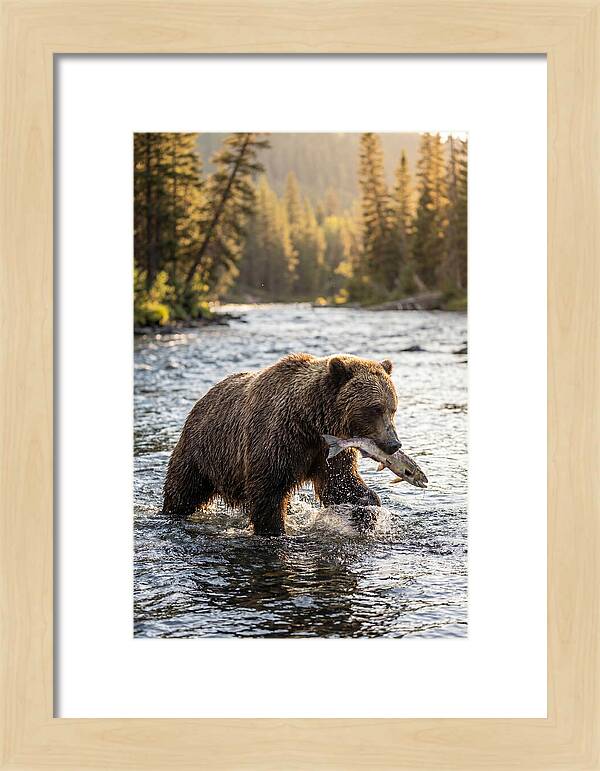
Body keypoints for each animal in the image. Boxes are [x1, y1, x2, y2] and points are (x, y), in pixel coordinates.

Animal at [162, 353, 402, 535]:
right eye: (375, 408)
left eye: (392, 408)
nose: (394, 444)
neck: (310, 422)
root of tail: (202, 398)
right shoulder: (278, 439)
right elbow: (268, 491)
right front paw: (274, 529)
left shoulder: (328, 450)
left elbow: (340, 483)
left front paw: (368, 510)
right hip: (202, 452)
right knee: (183, 490)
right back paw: (172, 512)